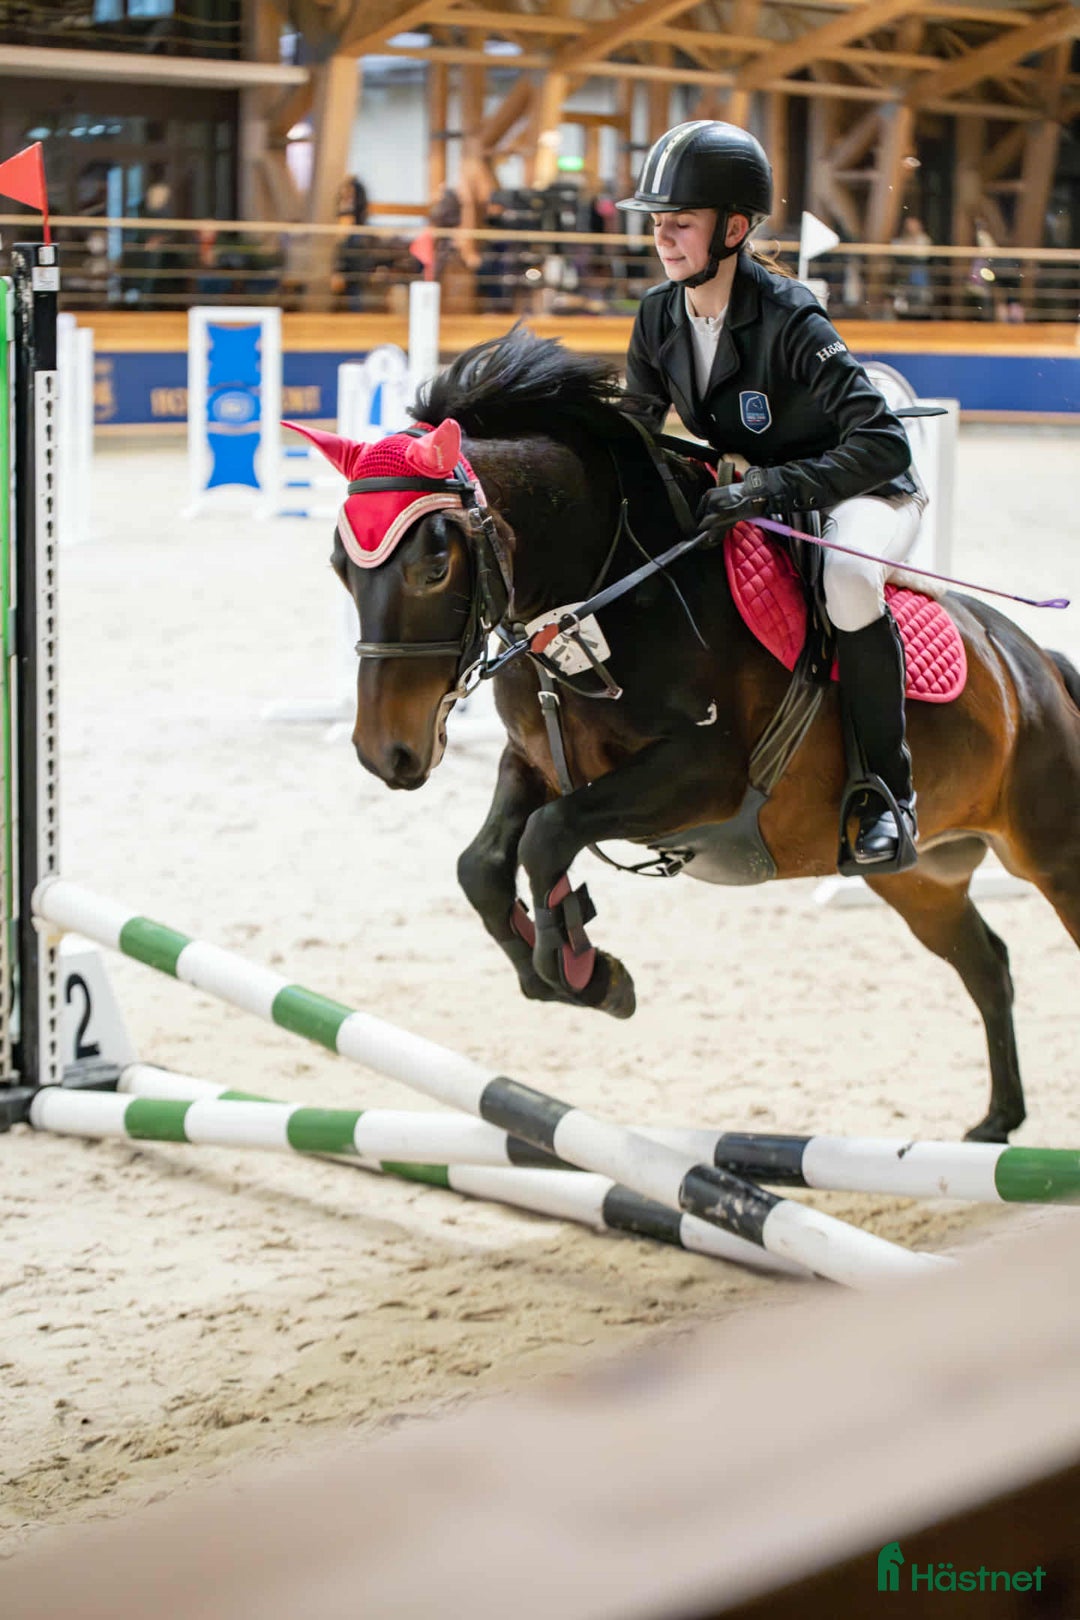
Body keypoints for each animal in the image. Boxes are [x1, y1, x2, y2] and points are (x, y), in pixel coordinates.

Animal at [287, 327, 1080, 1143]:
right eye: (340, 565)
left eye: (436, 563)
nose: (386, 754)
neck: (597, 607)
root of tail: (1034, 666)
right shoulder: (535, 759)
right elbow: (484, 863)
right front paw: (580, 974)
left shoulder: (701, 778)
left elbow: (546, 836)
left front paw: (577, 966)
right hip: (921, 882)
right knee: (986, 963)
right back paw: (997, 1122)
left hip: (1055, 856)